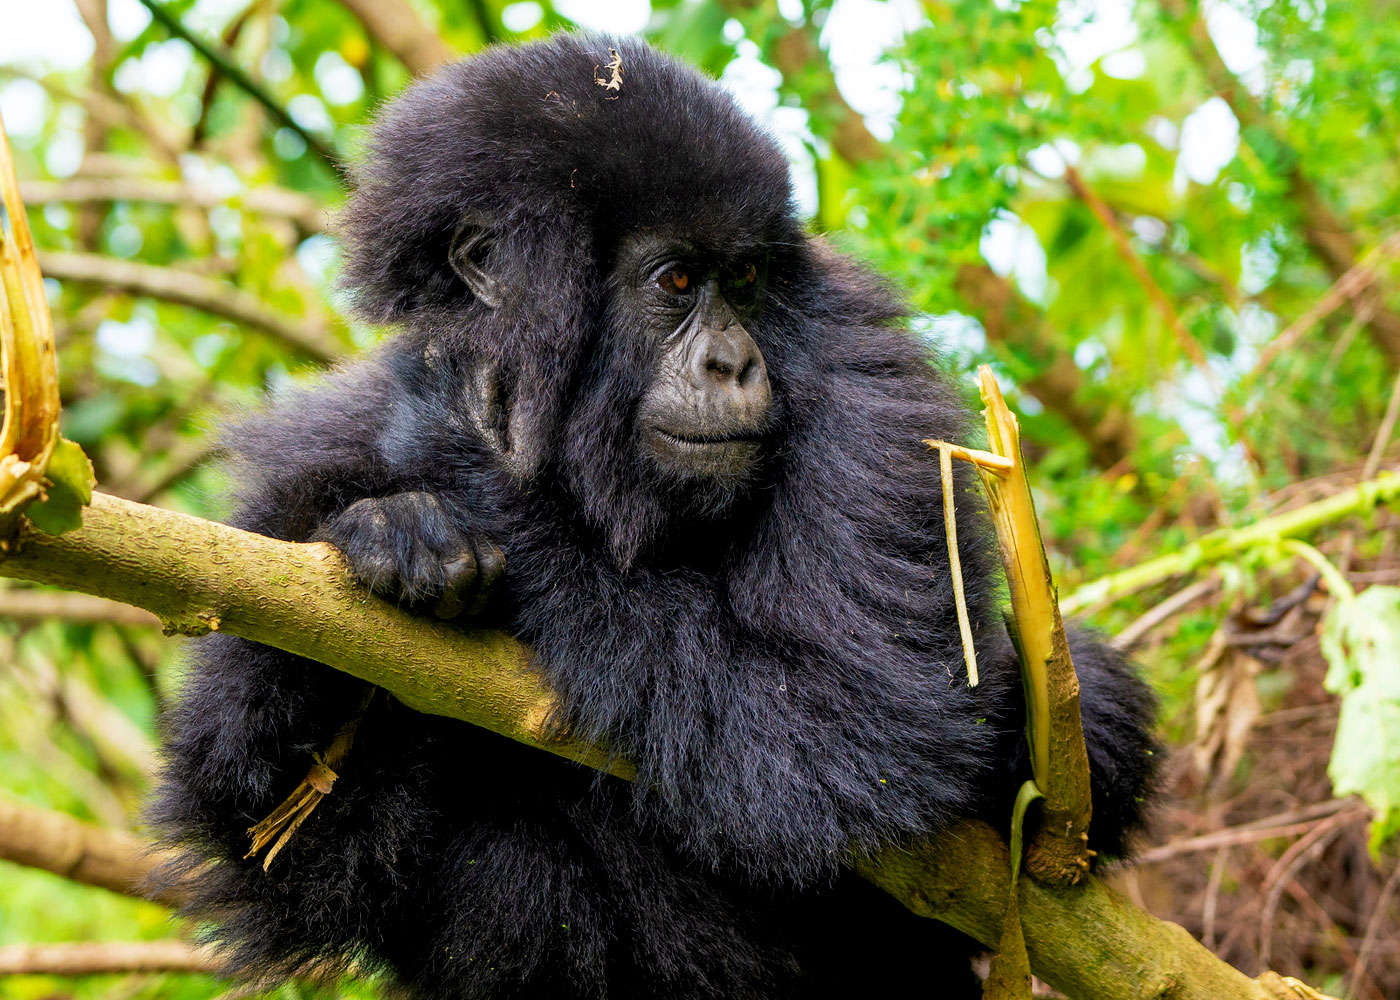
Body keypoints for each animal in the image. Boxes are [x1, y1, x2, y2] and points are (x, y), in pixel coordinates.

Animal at [153, 33, 1159, 997]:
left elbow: (852, 722)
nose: (734, 362)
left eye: (744, 276)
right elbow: (282, 842)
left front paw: (443, 446)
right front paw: (387, 534)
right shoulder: (305, 464)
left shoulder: (864, 380)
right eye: (675, 283)